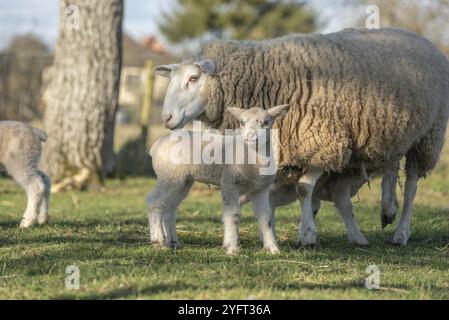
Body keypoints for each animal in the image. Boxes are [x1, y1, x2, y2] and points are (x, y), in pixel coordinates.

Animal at [145, 105, 288, 255]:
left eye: (265, 122)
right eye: (242, 122)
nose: (250, 136)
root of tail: (155, 146)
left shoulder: (261, 189)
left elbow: (266, 219)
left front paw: (273, 248)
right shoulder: (230, 183)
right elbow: (233, 215)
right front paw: (231, 248)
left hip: (183, 180)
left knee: (170, 208)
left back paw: (173, 242)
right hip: (169, 176)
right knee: (154, 201)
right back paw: (158, 241)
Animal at [154, 28, 448, 248]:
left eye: (193, 78)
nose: (166, 118)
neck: (264, 77)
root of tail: (424, 40)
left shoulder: (323, 142)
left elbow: (304, 189)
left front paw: (307, 234)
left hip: (428, 137)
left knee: (411, 188)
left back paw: (401, 232)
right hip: (393, 132)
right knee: (390, 166)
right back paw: (388, 209)